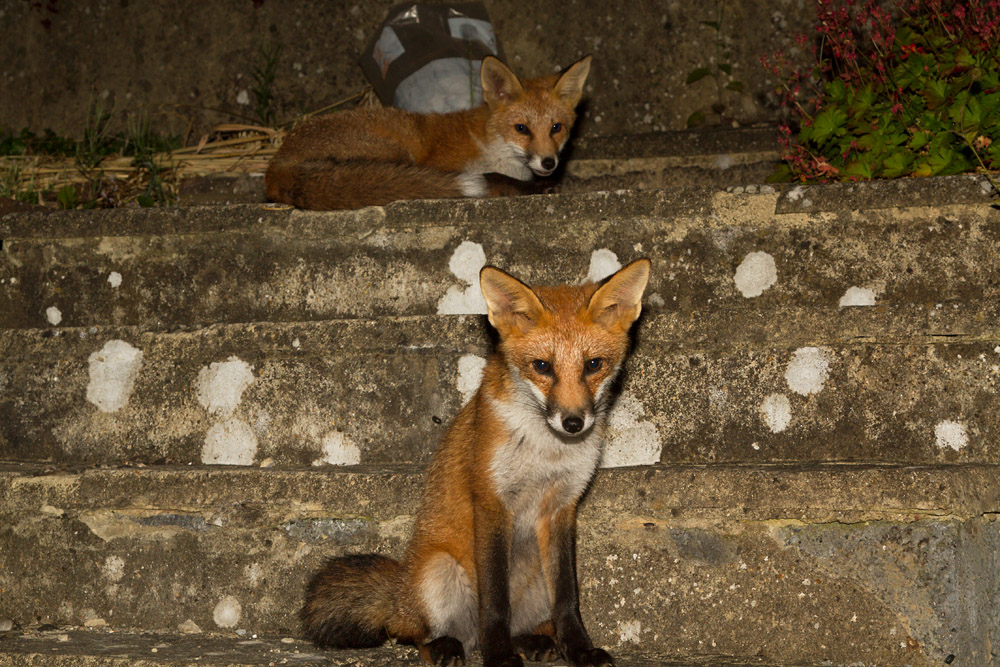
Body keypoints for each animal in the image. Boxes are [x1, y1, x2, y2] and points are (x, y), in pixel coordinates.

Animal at [264, 55, 592, 210]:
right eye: (521, 129)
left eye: (556, 128)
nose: (549, 163)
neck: (492, 146)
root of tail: (276, 163)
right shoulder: (446, 164)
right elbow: (498, 181)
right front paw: (534, 188)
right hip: (397, 151)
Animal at [300, 258, 651, 667]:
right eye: (542, 366)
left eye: (593, 364)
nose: (573, 422)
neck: (546, 452)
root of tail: (399, 589)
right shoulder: (490, 500)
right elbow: (495, 600)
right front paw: (499, 656)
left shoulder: (562, 507)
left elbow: (568, 598)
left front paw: (580, 650)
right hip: (438, 572)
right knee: (411, 634)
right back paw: (446, 646)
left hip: (535, 580)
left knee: (515, 626)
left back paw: (529, 642)